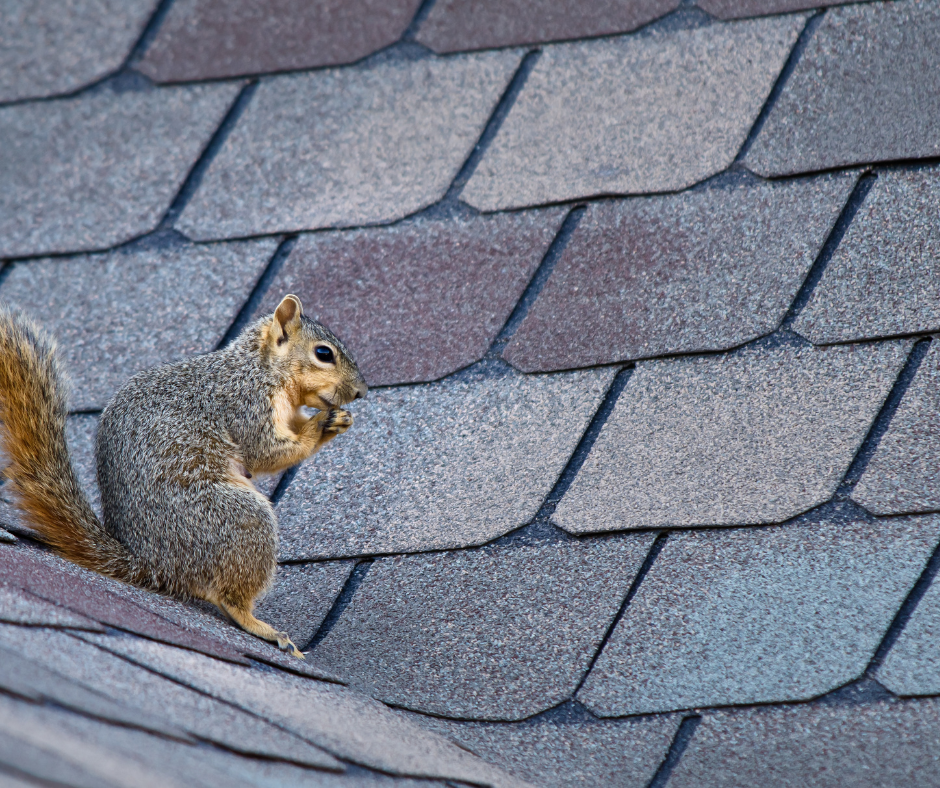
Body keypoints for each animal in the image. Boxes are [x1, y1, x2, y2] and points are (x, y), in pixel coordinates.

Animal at [0, 296, 364, 660]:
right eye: (323, 353)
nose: (361, 391)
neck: (260, 368)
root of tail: (152, 565)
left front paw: (337, 420)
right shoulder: (244, 405)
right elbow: (265, 452)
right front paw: (320, 426)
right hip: (239, 519)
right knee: (229, 597)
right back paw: (259, 625)